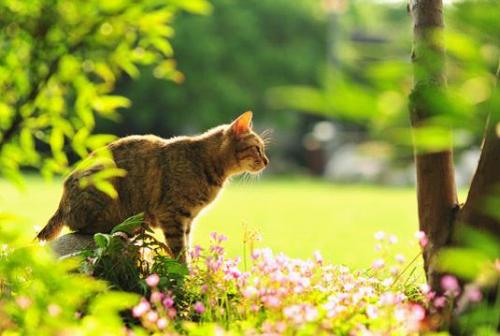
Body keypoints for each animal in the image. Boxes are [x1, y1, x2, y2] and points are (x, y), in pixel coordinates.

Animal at [36, 112, 268, 262]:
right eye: (257, 148)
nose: (267, 161)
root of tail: (62, 199)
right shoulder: (172, 214)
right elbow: (180, 251)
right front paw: (185, 274)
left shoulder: (187, 219)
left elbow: (186, 245)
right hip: (104, 180)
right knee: (84, 227)